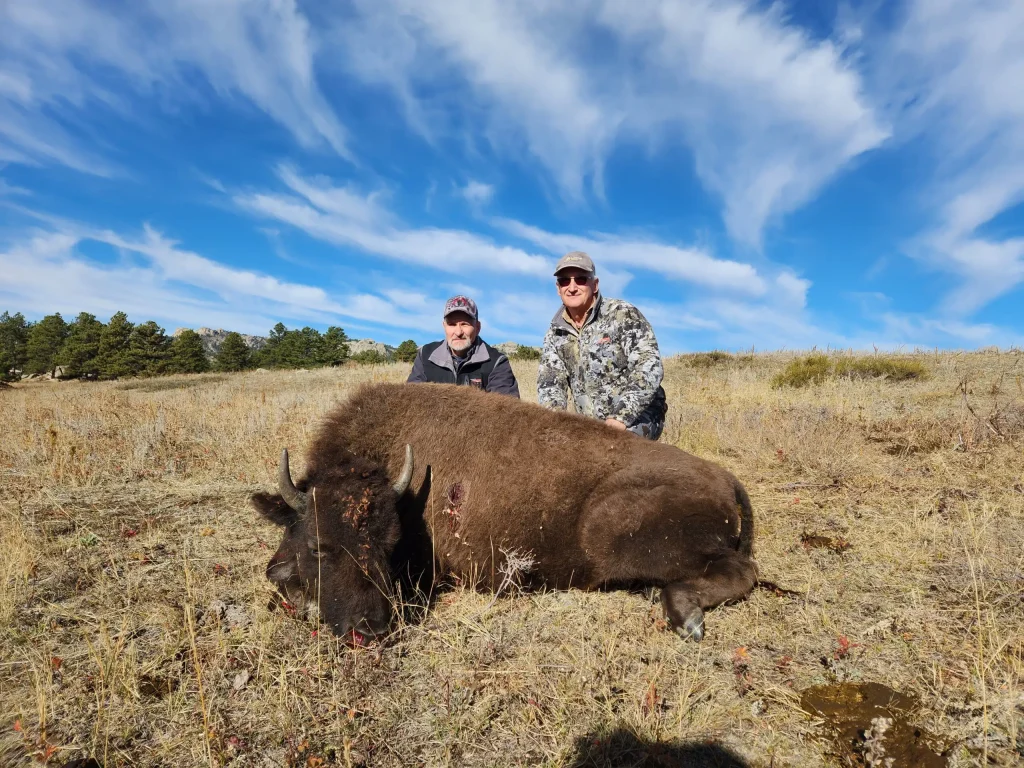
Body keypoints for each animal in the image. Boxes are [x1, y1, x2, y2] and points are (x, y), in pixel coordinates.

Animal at [252, 383, 757, 643]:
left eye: (390, 544)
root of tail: (724, 476)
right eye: (318, 545)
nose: (370, 629)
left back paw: (684, 615)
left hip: (614, 531)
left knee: (742, 571)